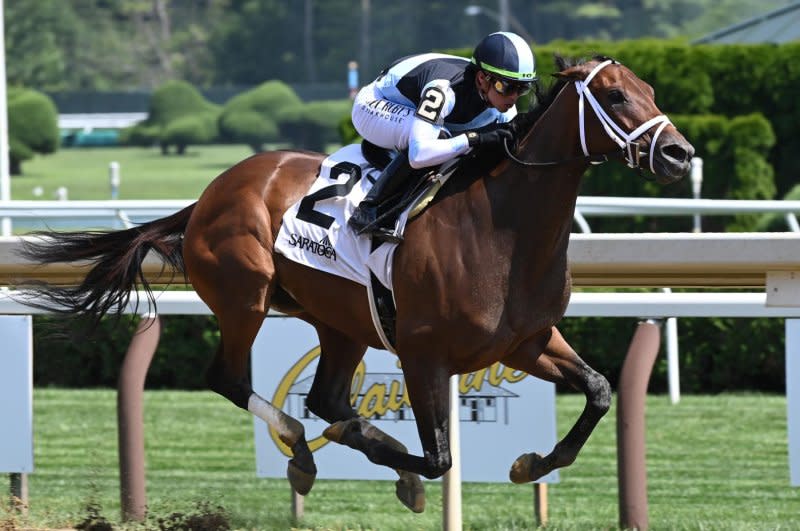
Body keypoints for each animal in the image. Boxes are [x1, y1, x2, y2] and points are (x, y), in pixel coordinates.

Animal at [17, 56, 692, 512]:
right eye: (614, 94)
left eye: (650, 90)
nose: (679, 154)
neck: (503, 227)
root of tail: (210, 193)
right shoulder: (423, 352)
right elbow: (439, 455)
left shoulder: (526, 341)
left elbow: (600, 391)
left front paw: (532, 464)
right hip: (245, 296)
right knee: (235, 381)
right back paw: (302, 447)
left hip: (341, 322)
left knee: (326, 398)